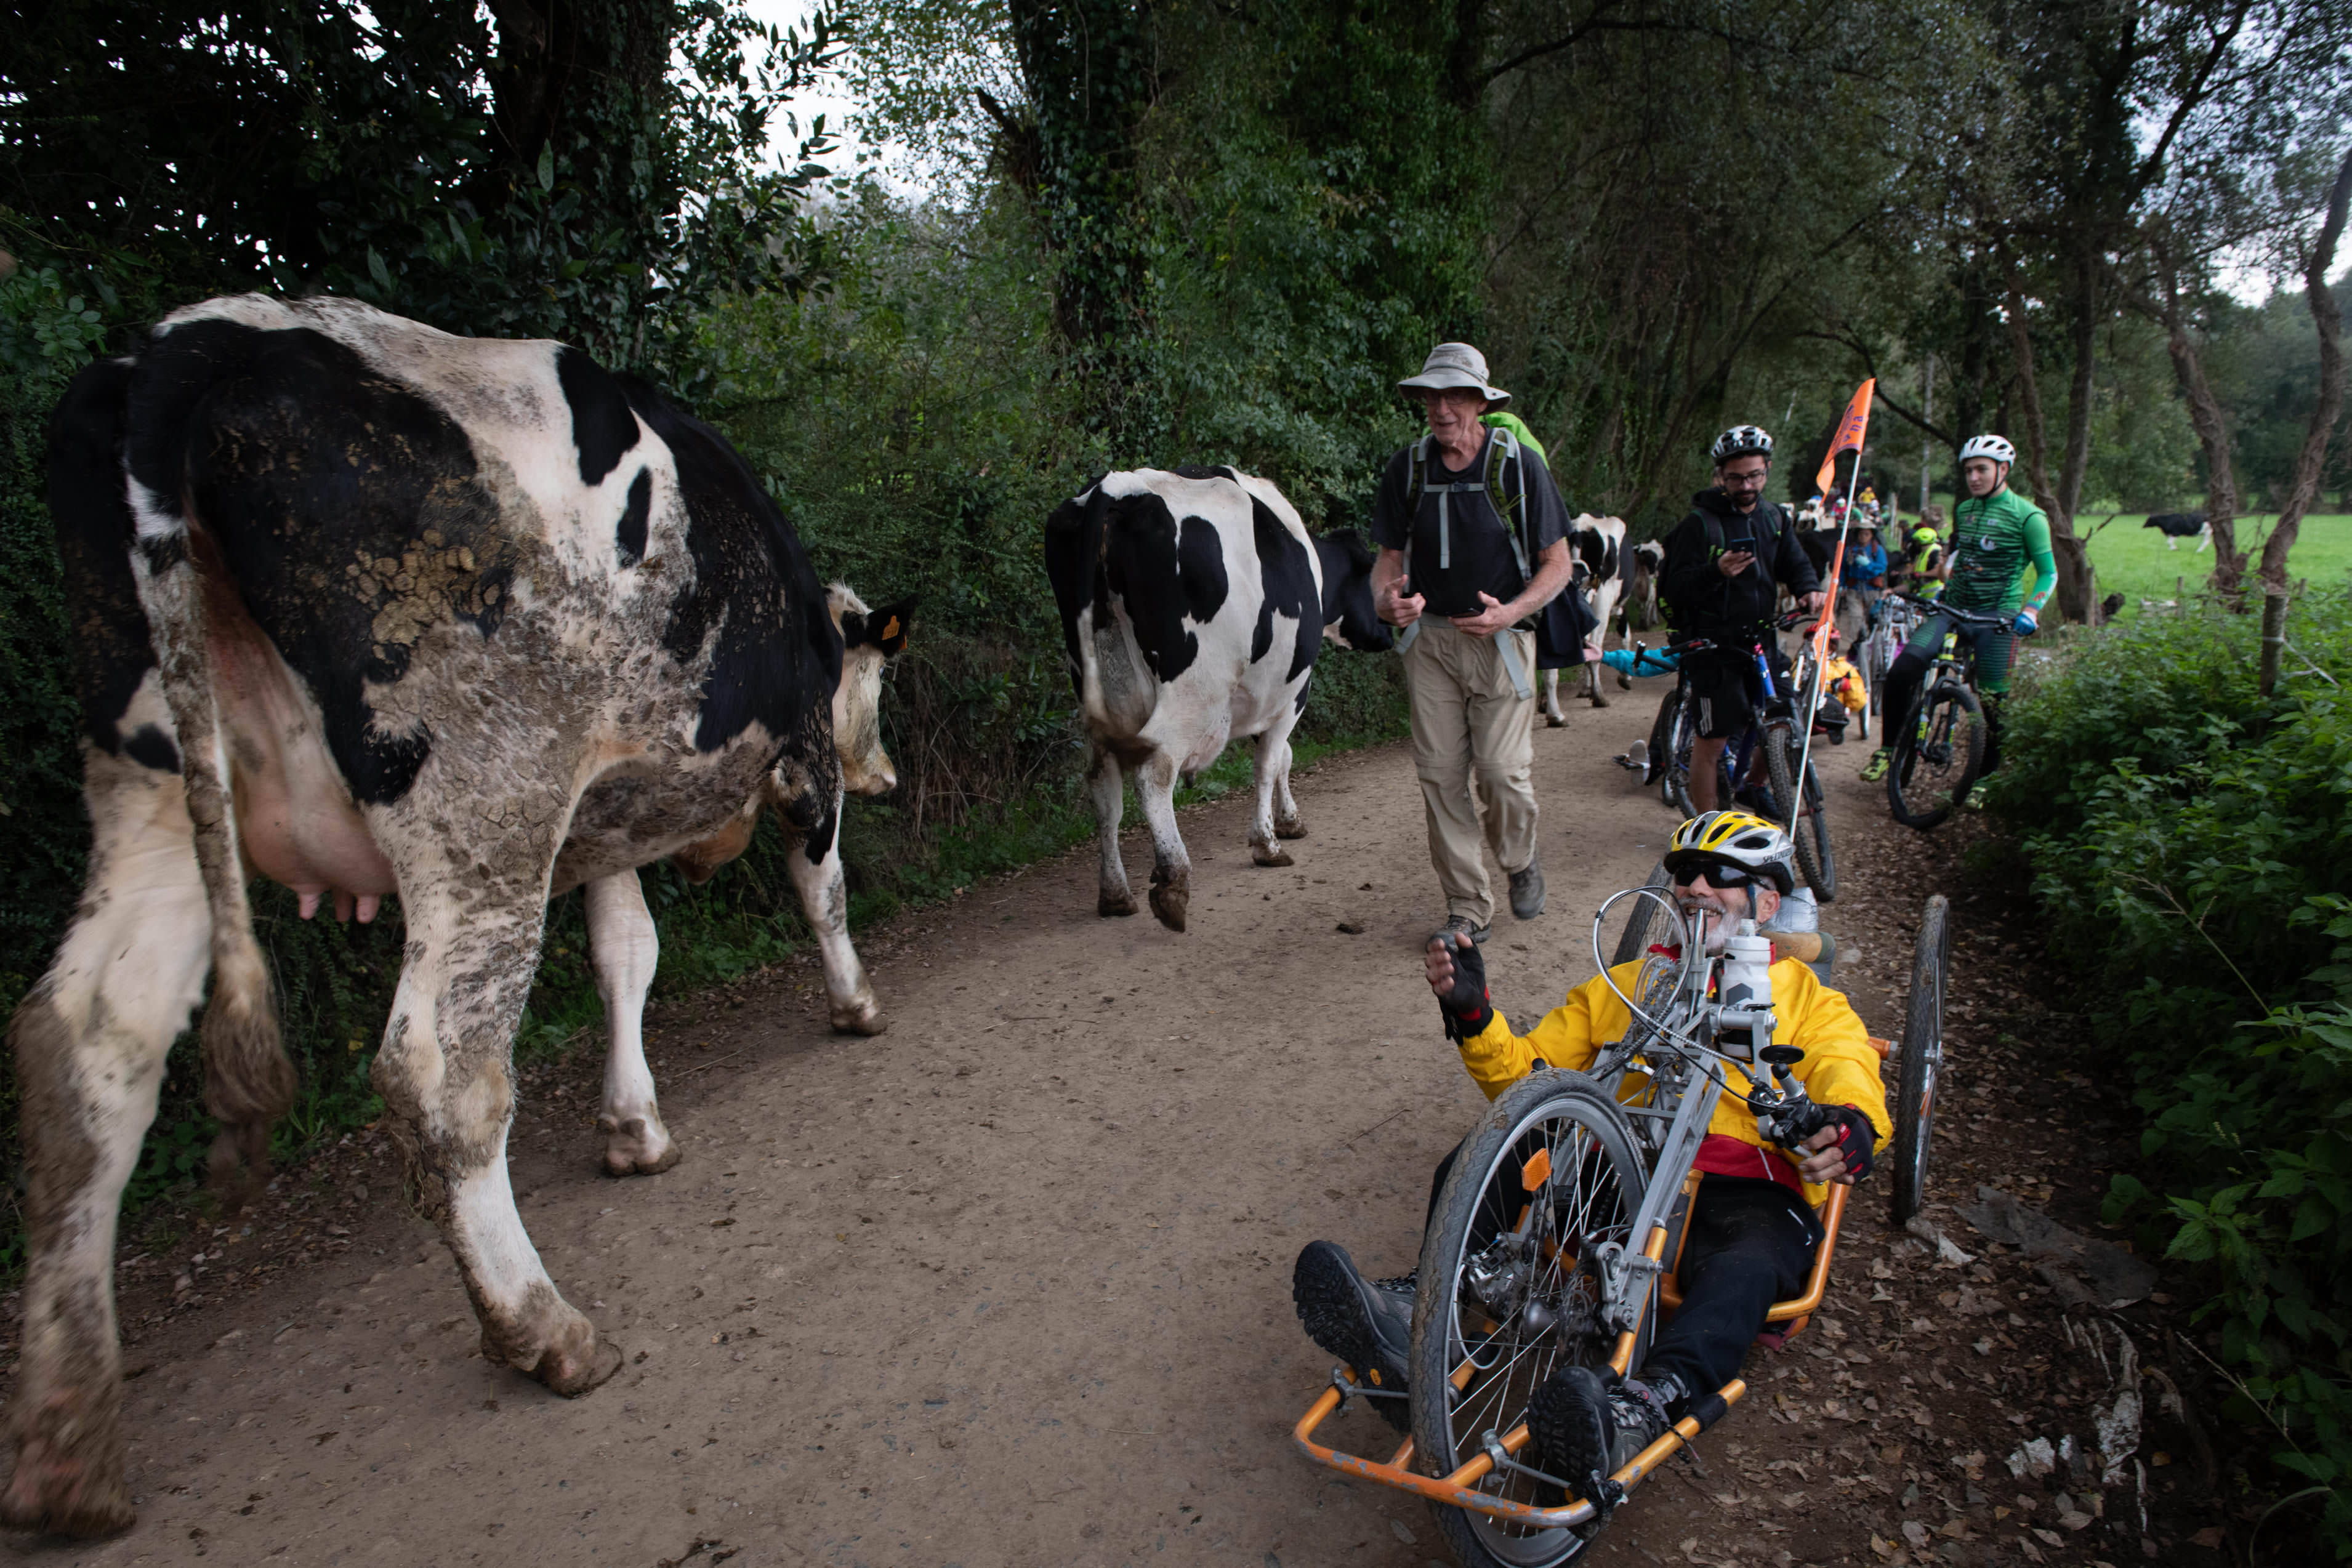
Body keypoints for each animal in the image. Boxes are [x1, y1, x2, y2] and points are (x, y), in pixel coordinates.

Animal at [5, 294, 887, 1536]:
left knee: (84, 1056)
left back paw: (69, 1447)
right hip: (483, 811)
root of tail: (204, 335)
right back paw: (542, 1327)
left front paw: (634, 1128)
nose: (891, 769)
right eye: (876, 690)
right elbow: (820, 887)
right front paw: (855, 1004)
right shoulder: (798, 757)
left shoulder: (601, 816)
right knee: (438, 1076)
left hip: (154, 783)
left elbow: (626, 953)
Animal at [1042, 468, 1390, 932]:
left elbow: (1282, 758)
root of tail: (1115, 488)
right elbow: (1272, 761)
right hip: (1193, 692)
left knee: (1103, 784)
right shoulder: (1293, 692)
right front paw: (1268, 843)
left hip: (1095, 684)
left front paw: (1289, 821)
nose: (1389, 632)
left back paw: (1115, 894)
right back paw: (1173, 881)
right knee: (1155, 772)